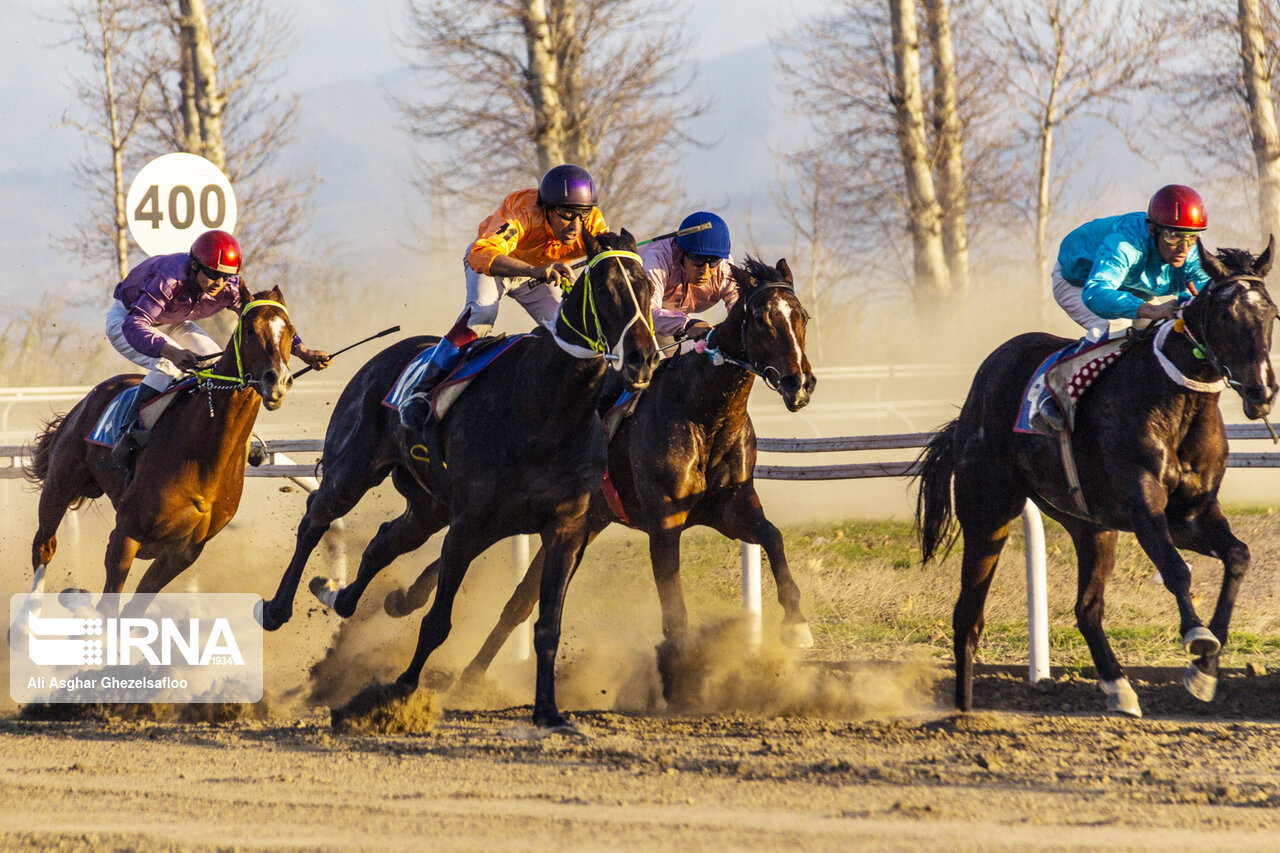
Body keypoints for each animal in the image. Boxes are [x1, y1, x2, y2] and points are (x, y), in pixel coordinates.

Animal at [30, 284, 302, 591]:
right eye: (251, 330)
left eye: (291, 331)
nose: (277, 381)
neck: (204, 456)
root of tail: (89, 398)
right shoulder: (126, 533)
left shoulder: (184, 553)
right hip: (60, 481)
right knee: (44, 545)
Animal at [258, 229, 660, 727]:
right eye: (604, 289)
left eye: (647, 288)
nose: (644, 359)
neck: (547, 409)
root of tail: (383, 357)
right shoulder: (468, 526)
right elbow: (437, 622)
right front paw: (401, 690)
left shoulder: (566, 529)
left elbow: (547, 625)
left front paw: (548, 711)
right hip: (352, 471)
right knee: (316, 518)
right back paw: (277, 608)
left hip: (429, 506)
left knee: (383, 542)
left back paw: (337, 594)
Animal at [381, 256, 819, 701]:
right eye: (762, 319)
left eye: (802, 316)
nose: (800, 383)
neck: (703, 413)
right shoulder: (664, 522)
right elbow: (674, 606)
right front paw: (682, 677)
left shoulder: (731, 506)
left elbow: (772, 536)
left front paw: (796, 624)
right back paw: (413, 604)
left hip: (584, 521)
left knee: (518, 600)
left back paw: (468, 672)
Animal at [921, 235, 1280, 712]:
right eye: (1225, 313)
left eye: (1271, 313)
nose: (1262, 391)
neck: (1176, 401)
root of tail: (977, 392)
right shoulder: (1143, 505)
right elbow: (1176, 569)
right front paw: (1197, 637)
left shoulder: (1190, 515)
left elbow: (1238, 556)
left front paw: (1205, 670)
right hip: (988, 514)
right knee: (968, 616)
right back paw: (963, 713)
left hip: (1092, 527)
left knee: (1087, 609)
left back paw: (1118, 685)